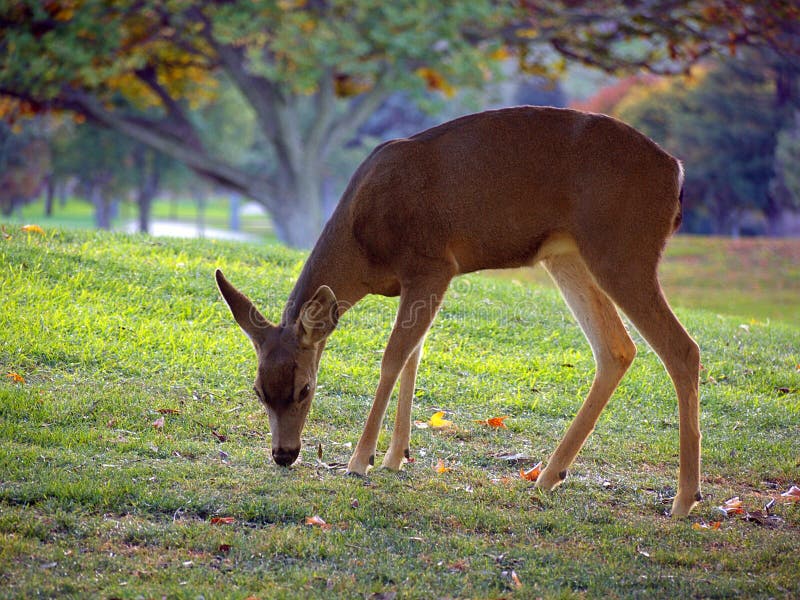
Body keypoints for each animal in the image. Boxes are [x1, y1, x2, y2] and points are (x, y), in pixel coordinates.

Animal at [215, 106, 702, 517]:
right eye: (258, 391)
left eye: (305, 389)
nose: (284, 454)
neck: (362, 244)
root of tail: (676, 173)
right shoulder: (420, 281)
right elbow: (414, 356)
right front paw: (395, 456)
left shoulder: (431, 264)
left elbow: (393, 357)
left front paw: (360, 459)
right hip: (568, 255)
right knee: (617, 349)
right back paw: (548, 475)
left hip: (623, 248)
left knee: (682, 349)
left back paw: (684, 500)